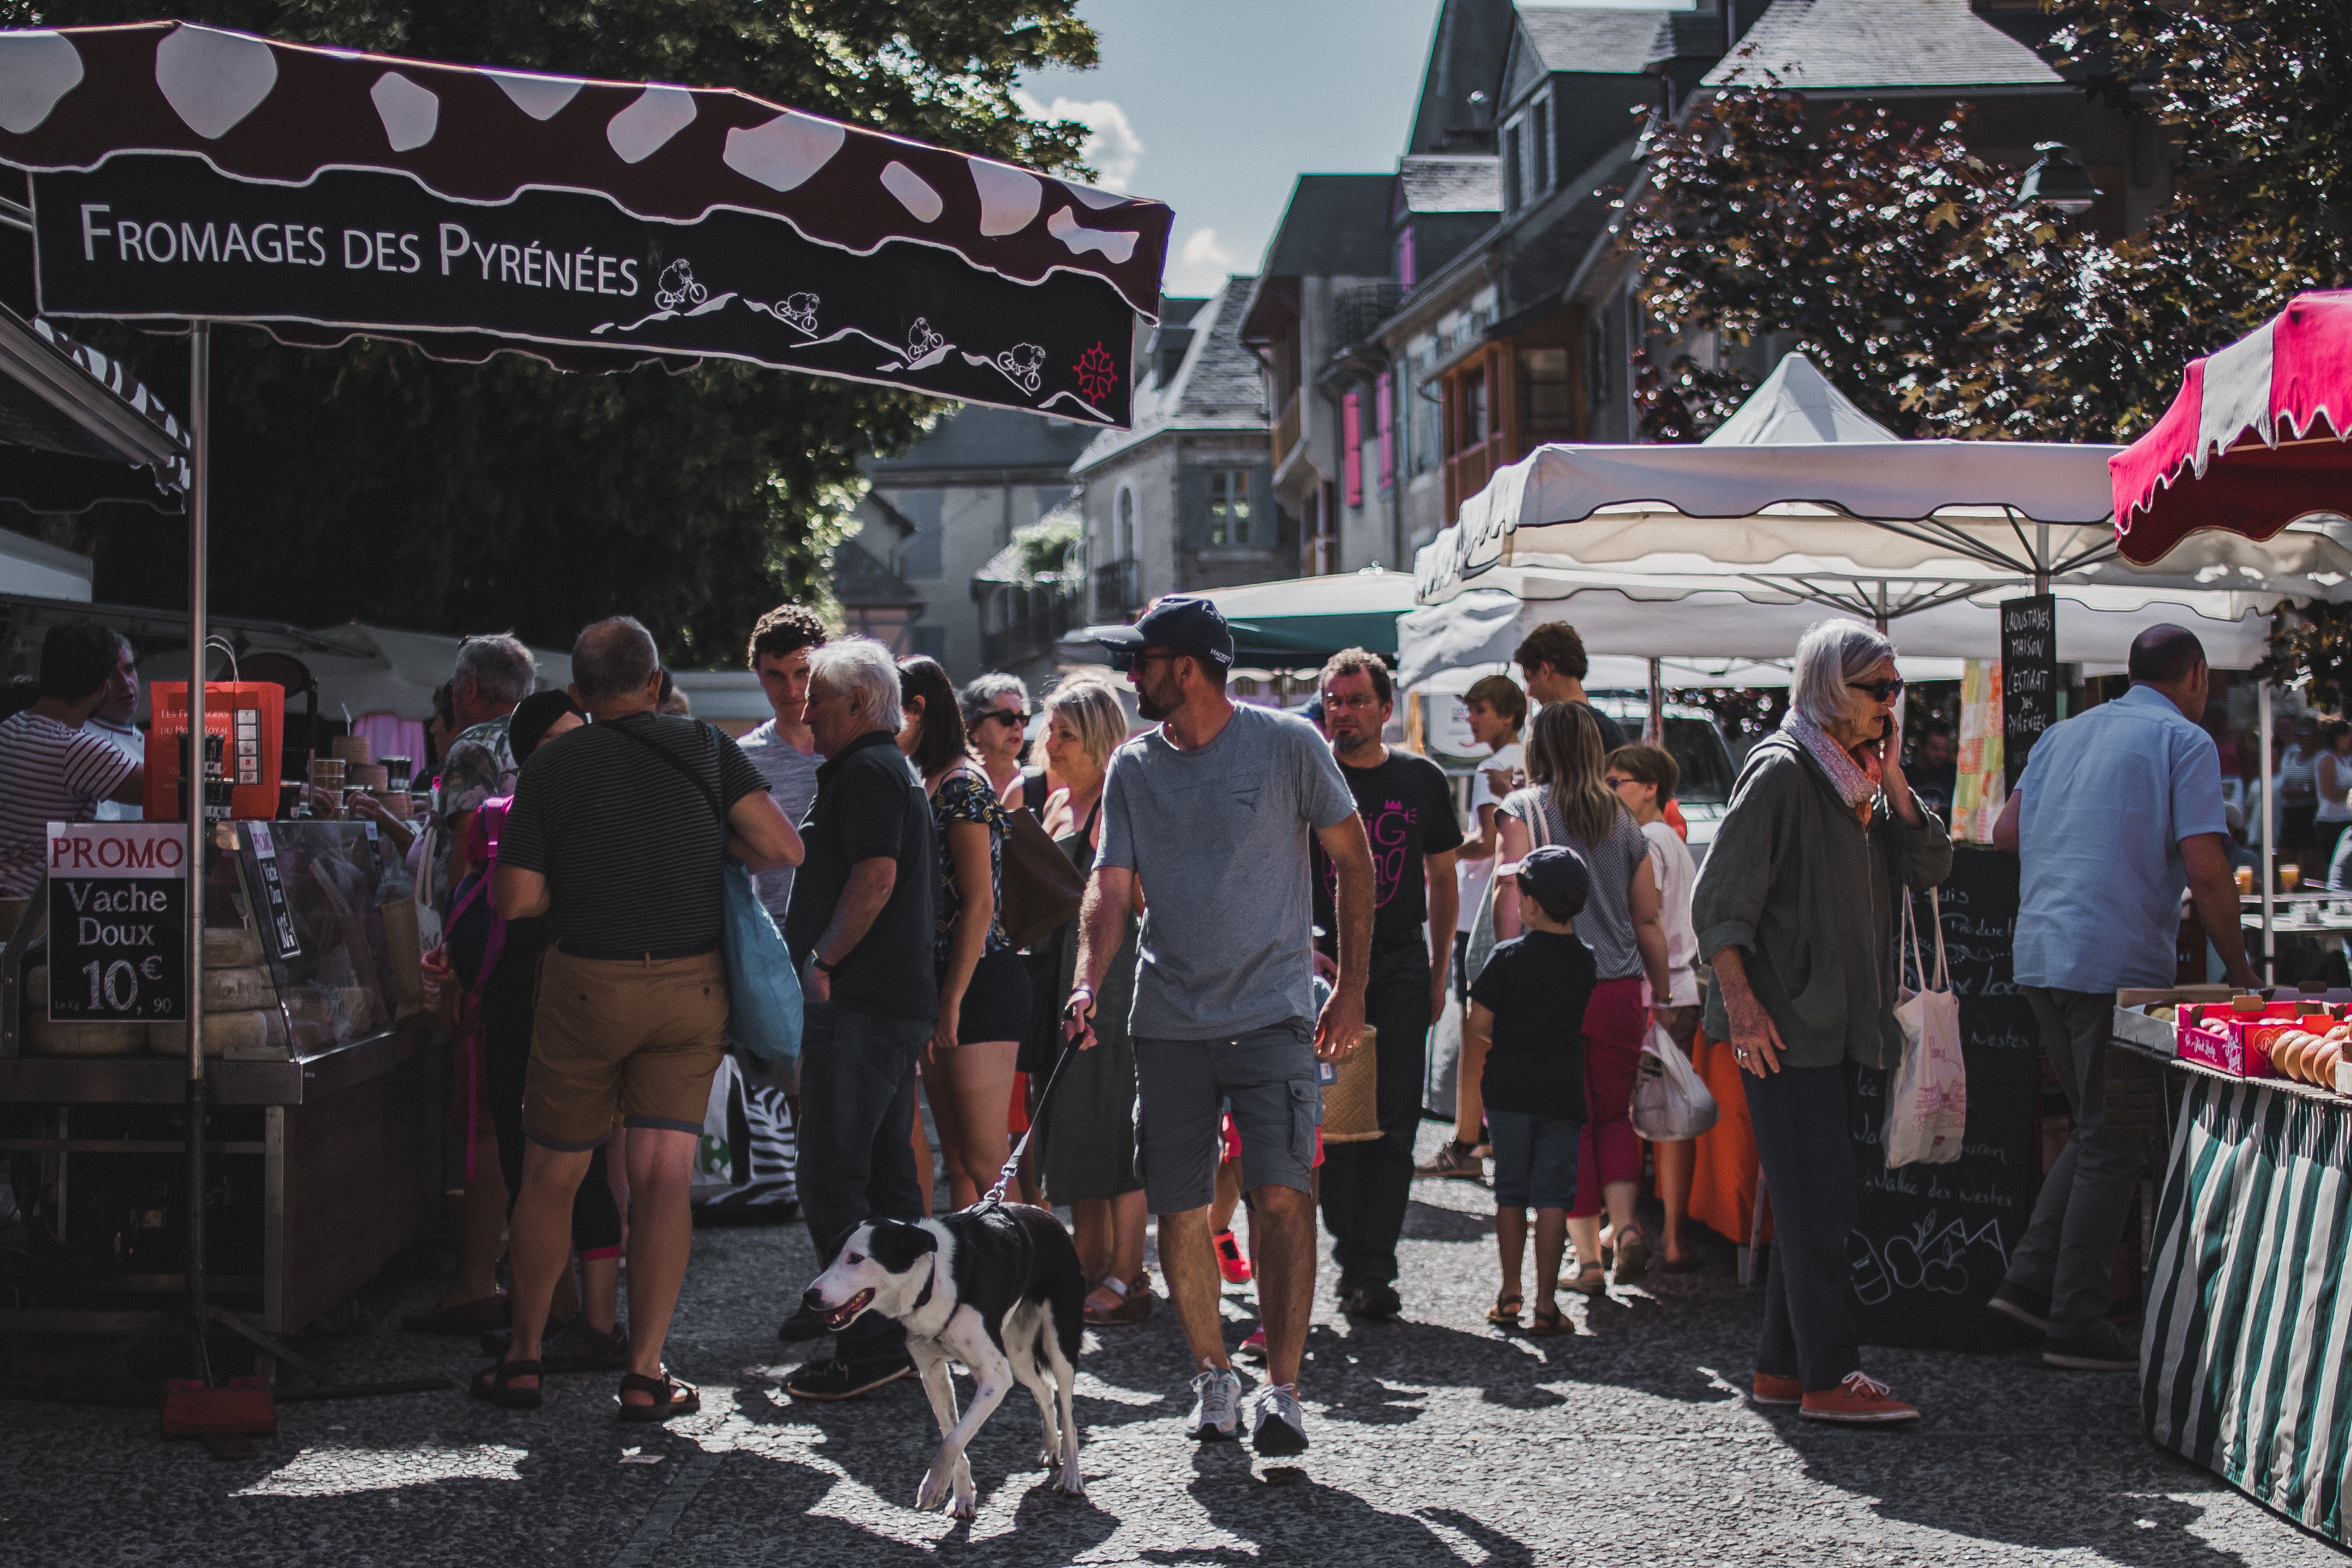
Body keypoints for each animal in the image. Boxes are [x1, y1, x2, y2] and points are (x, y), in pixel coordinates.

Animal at [795, 1203, 1077, 1523]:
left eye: (855, 1258)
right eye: (829, 1257)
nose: (810, 1296)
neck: (931, 1281)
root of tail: (1046, 1213)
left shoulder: (994, 1378)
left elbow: (953, 1440)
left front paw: (933, 1486)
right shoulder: (933, 1374)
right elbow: (952, 1435)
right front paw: (962, 1497)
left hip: (1059, 1343)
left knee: (1068, 1410)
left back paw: (1071, 1476)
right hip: (1017, 1354)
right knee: (1044, 1390)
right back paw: (1051, 1448)